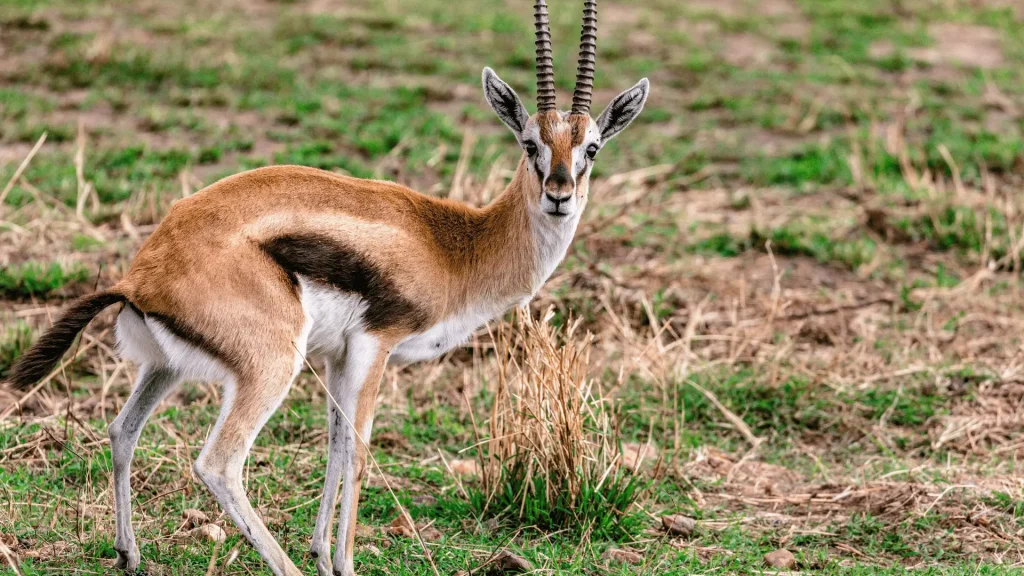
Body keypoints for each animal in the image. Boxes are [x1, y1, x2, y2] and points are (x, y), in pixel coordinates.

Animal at [6, 1, 649, 574]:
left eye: (592, 147)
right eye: (529, 143)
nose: (559, 195)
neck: (454, 246)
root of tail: (141, 273)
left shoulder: (340, 356)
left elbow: (336, 446)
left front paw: (322, 555)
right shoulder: (375, 344)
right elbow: (359, 453)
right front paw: (341, 563)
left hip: (165, 367)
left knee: (122, 430)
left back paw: (128, 555)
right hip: (271, 366)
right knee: (219, 463)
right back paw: (279, 564)